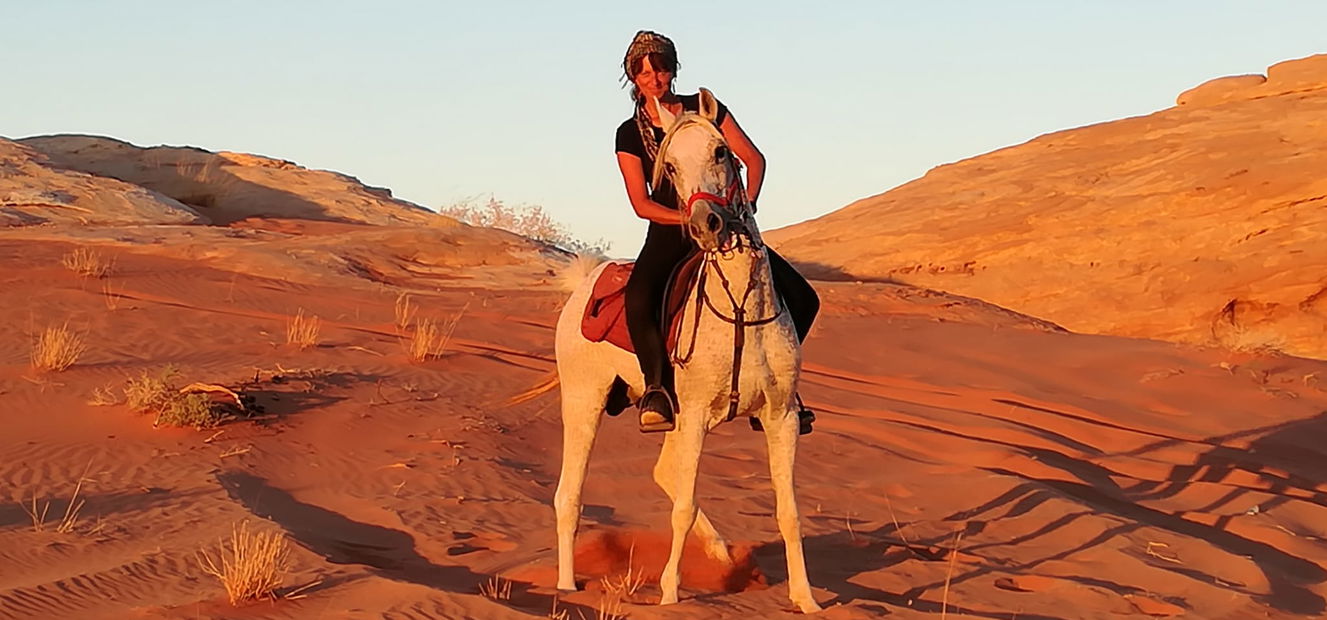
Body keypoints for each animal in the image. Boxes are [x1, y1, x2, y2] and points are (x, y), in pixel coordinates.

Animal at [551, 89, 820, 613]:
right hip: (584, 399)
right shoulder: (694, 416)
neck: (740, 308)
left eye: (721, 151)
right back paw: (567, 586)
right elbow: (682, 508)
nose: (707, 224)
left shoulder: (781, 418)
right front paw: (671, 593)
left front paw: (806, 598)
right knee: (570, 495)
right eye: (670, 166)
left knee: (664, 472)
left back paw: (720, 552)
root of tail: (586, 281)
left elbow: (788, 511)